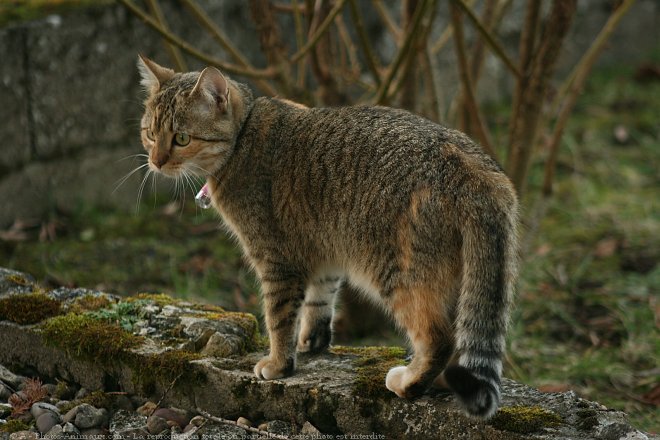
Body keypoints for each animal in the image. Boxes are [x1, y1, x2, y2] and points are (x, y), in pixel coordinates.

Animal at [137, 55, 520, 420]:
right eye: (150, 134)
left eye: (182, 138)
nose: (155, 161)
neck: (242, 137)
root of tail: (475, 168)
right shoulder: (324, 251)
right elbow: (318, 302)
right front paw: (311, 341)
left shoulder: (276, 261)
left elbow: (279, 318)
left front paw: (279, 363)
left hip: (401, 275)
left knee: (439, 338)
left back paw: (411, 381)